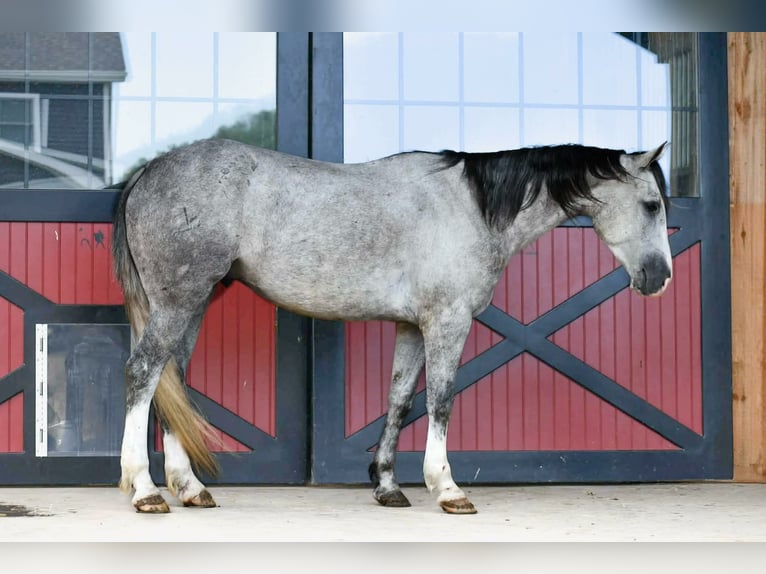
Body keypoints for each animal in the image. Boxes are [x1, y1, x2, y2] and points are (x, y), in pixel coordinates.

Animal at [112, 138, 672, 514]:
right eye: (651, 204)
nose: (660, 278)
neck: (470, 208)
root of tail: (150, 171)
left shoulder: (410, 327)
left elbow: (399, 399)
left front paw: (387, 486)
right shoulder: (447, 321)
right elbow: (441, 399)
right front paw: (446, 487)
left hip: (191, 303)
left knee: (172, 381)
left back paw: (189, 488)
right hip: (178, 301)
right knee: (142, 373)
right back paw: (144, 490)